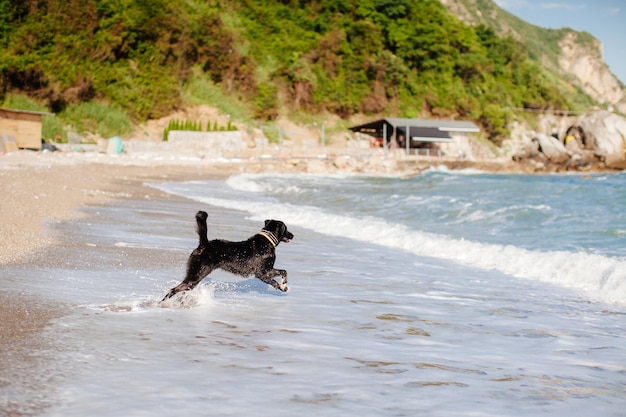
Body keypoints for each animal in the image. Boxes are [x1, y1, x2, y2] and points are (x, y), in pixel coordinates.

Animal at [161, 211, 292, 300]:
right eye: (286, 229)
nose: (293, 235)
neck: (266, 242)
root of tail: (204, 244)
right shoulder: (263, 272)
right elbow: (282, 273)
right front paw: (283, 285)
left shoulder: (264, 274)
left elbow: (277, 278)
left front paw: (283, 286)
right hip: (196, 275)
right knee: (173, 290)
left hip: (193, 278)